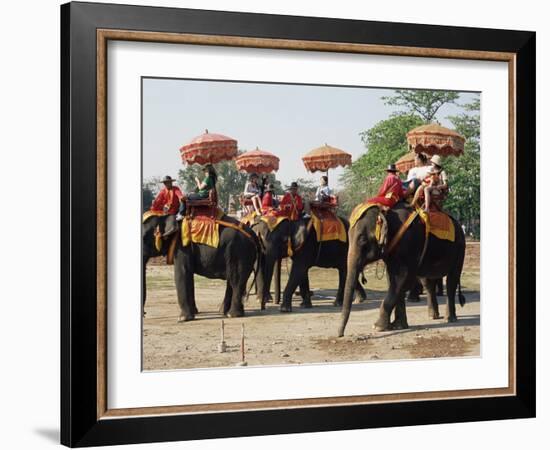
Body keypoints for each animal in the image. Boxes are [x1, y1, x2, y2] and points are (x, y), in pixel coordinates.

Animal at [340, 202, 466, 336]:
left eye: (362, 239)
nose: (340, 334)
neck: (386, 213)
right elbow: (392, 280)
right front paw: (398, 326)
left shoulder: (409, 245)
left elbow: (402, 279)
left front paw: (378, 327)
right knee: (428, 282)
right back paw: (433, 316)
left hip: (460, 250)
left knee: (452, 280)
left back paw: (450, 319)